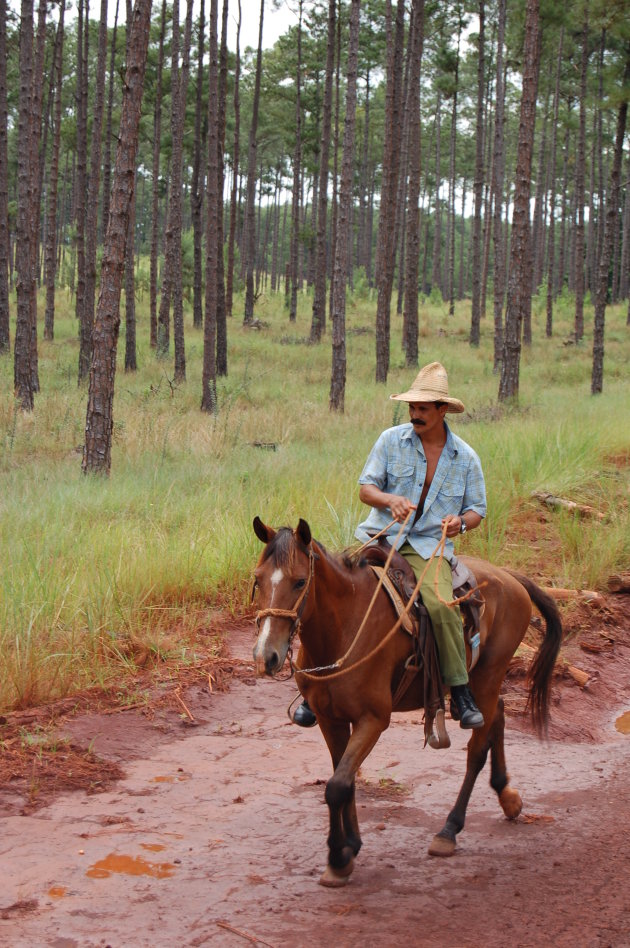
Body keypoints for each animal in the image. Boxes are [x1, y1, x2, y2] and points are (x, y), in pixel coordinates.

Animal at [252, 516, 564, 884]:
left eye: (300, 581)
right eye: (257, 579)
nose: (266, 656)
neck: (346, 627)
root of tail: (510, 578)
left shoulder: (374, 719)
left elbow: (337, 785)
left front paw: (338, 857)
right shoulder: (331, 719)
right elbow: (344, 779)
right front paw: (351, 845)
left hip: (490, 674)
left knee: (476, 749)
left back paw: (449, 830)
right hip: (482, 681)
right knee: (497, 716)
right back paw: (508, 797)